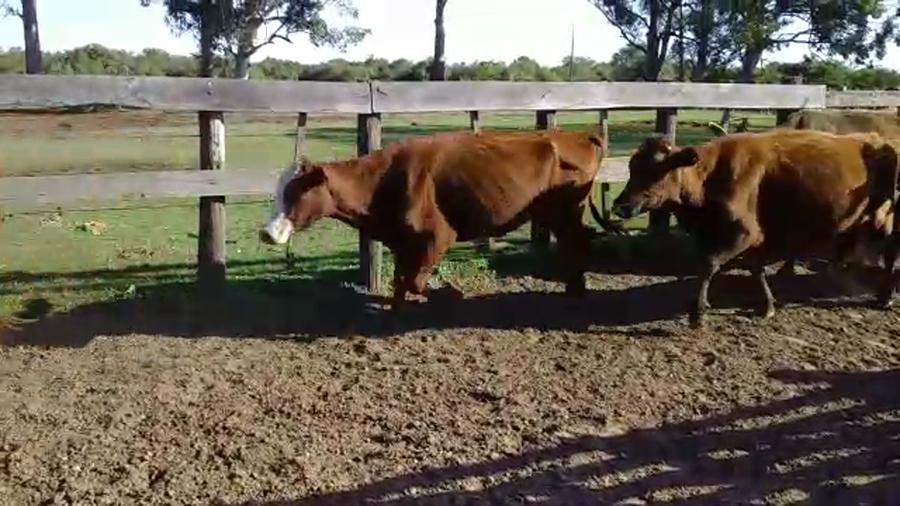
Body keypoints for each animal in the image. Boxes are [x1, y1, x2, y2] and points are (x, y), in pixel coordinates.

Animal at [259, 129, 615, 314]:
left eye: (295, 191)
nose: (266, 233)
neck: (386, 179)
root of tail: (576, 134)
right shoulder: (402, 242)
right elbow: (400, 282)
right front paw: (395, 313)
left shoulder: (437, 236)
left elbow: (415, 282)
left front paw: (453, 294)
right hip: (558, 215)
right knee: (574, 244)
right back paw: (573, 290)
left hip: (566, 211)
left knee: (576, 243)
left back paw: (576, 292)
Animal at [610, 128, 897, 327]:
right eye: (632, 167)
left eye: (657, 169)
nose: (620, 205)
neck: (710, 177)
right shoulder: (752, 238)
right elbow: (755, 269)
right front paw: (767, 305)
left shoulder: (742, 233)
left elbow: (708, 264)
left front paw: (698, 313)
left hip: (889, 218)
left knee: (890, 256)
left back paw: (885, 296)